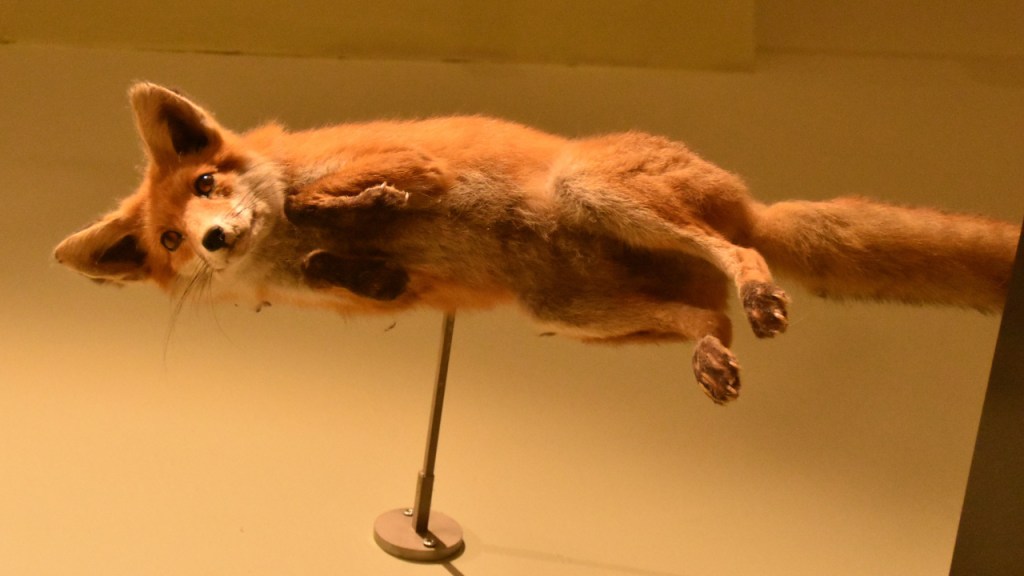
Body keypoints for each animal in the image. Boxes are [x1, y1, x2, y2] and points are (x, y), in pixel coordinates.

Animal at [55, 83, 1020, 404]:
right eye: (171, 238)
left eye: (205, 186)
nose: (217, 240)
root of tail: (751, 204)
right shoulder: (382, 290)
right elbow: (360, 271)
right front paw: (344, 249)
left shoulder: (411, 162)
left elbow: (332, 192)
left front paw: (352, 202)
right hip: (562, 310)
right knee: (706, 313)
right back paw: (714, 355)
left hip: (598, 197)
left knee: (738, 258)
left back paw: (757, 289)